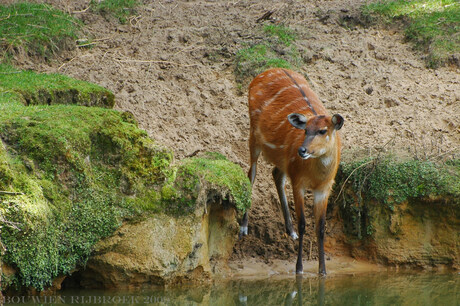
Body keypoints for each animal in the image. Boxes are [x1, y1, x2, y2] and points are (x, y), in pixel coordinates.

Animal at [241, 68, 342, 274]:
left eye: (322, 130)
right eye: (305, 130)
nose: (302, 150)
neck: (316, 176)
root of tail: (267, 71)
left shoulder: (325, 188)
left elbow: (321, 227)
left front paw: (323, 271)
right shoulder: (298, 181)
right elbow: (303, 223)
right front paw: (299, 268)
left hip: (281, 159)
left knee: (276, 174)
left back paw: (290, 231)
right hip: (253, 134)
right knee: (251, 174)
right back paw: (244, 227)